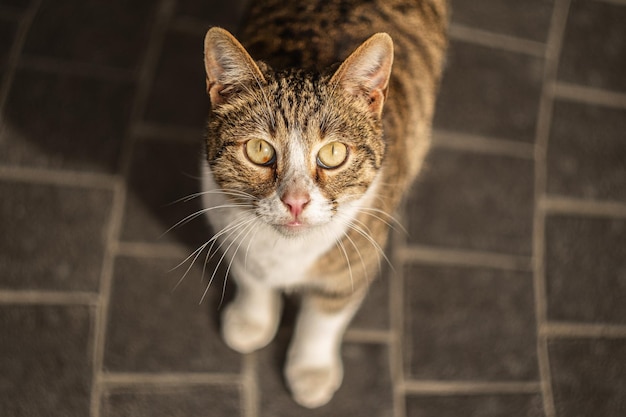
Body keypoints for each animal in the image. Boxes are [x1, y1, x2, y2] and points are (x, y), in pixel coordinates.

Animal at [199, 0, 444, 406]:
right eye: (259, 149)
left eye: (333, 153)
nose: (295, 201)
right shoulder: (224, 220)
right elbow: (250, 276)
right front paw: (252, 320)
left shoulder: (359, 254)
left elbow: (324, 316)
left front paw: (310, 369)